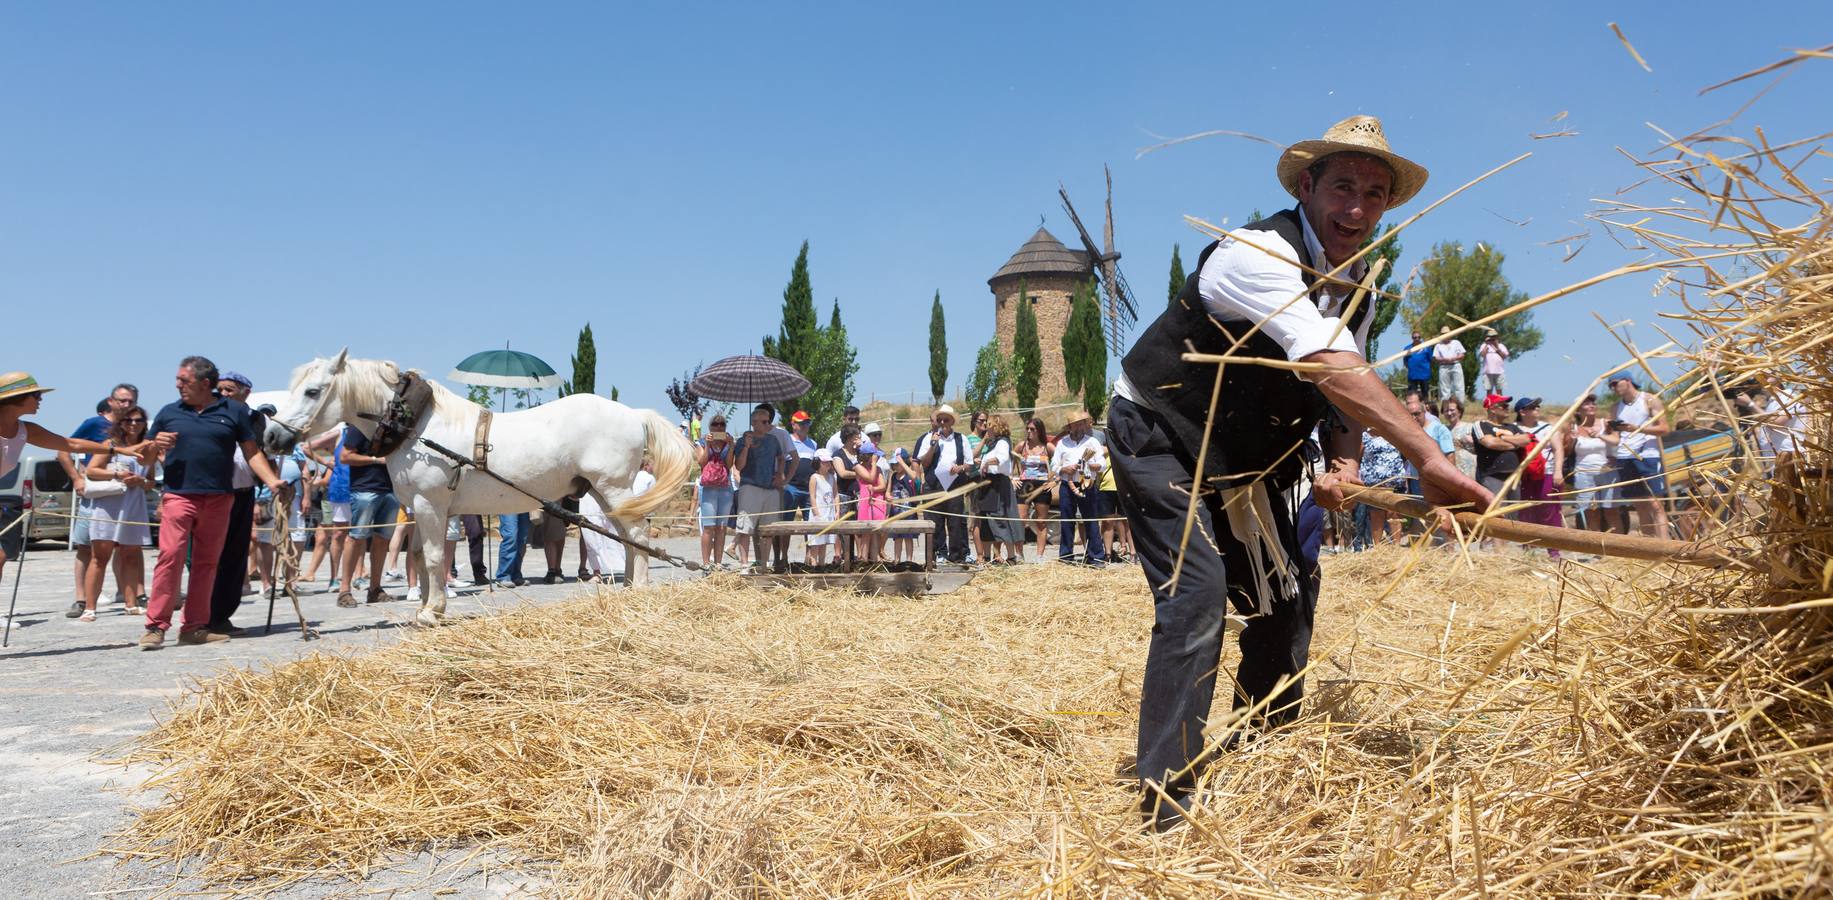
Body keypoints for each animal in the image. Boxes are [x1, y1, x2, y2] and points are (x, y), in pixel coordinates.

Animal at [260, 351, 689, 626]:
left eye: (313, 391)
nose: (271, 436)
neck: (417, 426)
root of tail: (633, 413)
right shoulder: (418, 510)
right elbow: (418, 557)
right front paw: (426, 606)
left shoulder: (430, 504)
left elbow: (434, 558)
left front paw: (431, 612)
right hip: (602, 492)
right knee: (627, 537)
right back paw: (630, 587)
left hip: (613, 487)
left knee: (637, 534)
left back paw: (639, 590)